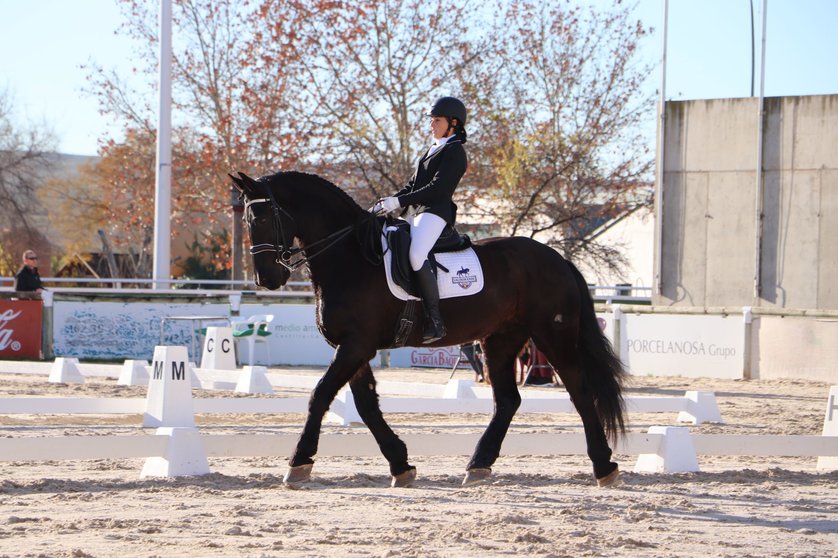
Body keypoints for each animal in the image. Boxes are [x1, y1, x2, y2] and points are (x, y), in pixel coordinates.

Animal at [233, 172, 628, 490]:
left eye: (263, 216)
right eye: (247, 218)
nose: (267, 279)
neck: (351, 256)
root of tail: (558, 259)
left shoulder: (354, 346)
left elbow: (320, 395)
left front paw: (298, 463)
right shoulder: (354, 348)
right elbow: (366, 405)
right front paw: (401, 464)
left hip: (552, 336)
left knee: (579, 392)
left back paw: (604, 466)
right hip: (500, 340)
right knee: (507, 401)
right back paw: (477, 466)